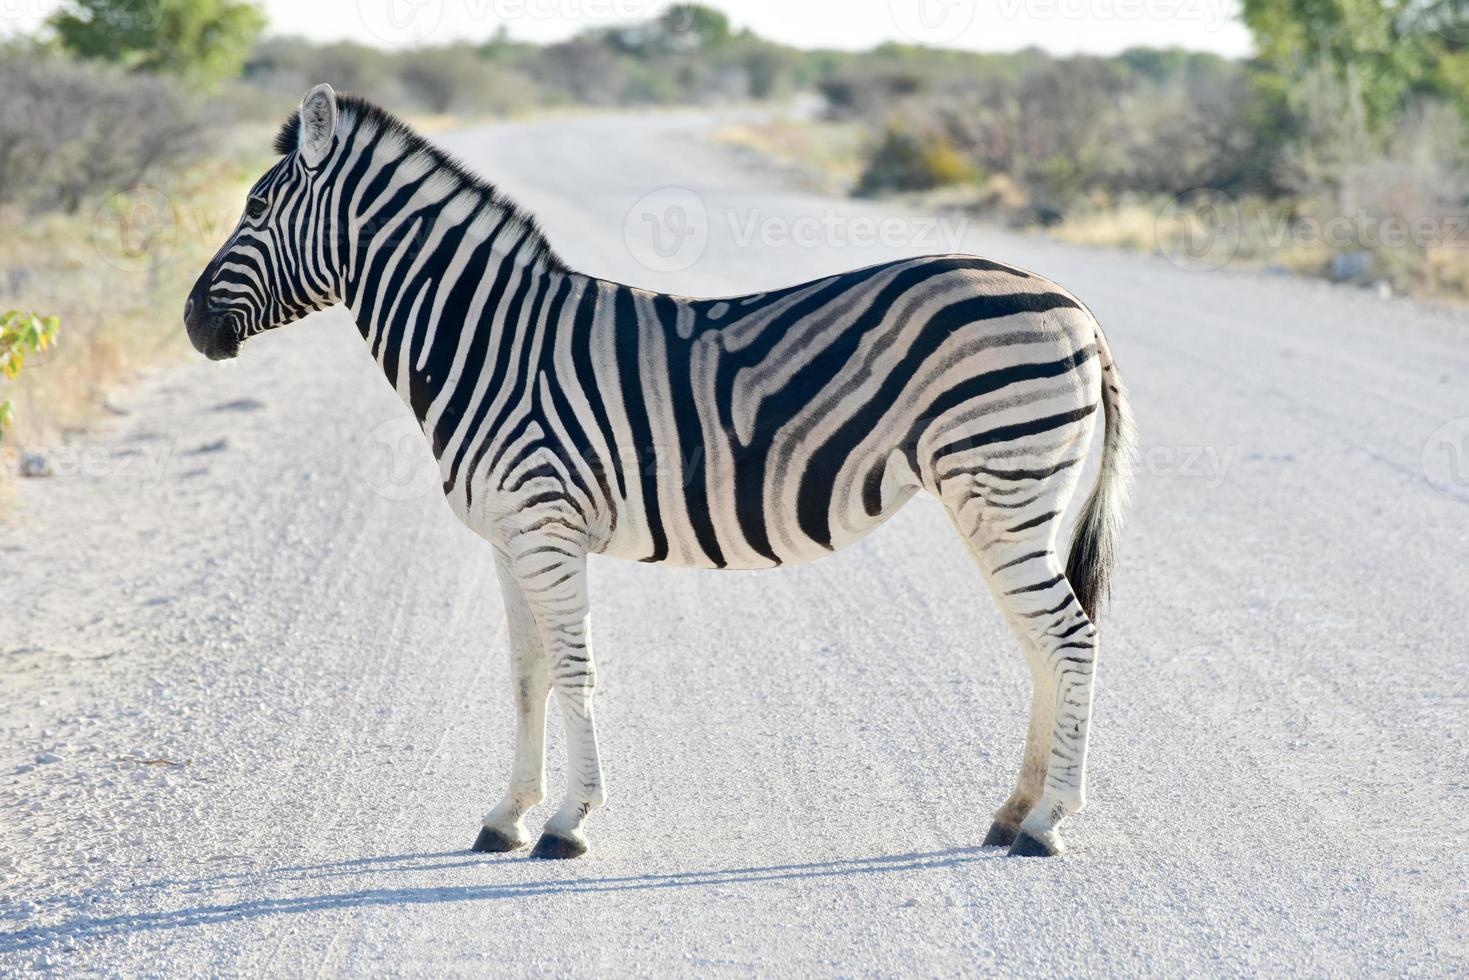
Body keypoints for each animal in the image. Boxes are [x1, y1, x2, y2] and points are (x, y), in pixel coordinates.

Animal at [186, 88, 1134, 863]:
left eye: (257, 205)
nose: (192, 323)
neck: (486, 344)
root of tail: (1072, 306)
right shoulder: (506, 538)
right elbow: (525, 672)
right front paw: (507, 816)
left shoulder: (545, 526)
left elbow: (574, 669)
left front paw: (567, 824)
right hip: (1010, 500)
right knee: (1042, 642)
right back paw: (1011, 813)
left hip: (1001, 487)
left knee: (1070, 638)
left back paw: (1048, 825)